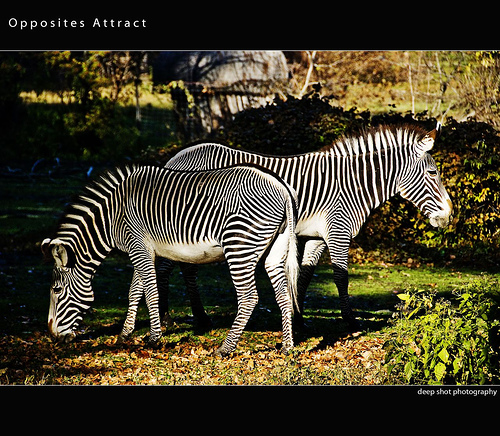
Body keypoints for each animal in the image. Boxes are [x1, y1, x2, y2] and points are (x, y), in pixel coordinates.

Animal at [42, 164, 299, 356]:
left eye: (56, 289)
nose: (53, 335)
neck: (112, 217)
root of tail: (282, 187)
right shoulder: (143, 249)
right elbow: (135, 291)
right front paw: (125, 334)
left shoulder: (138, 246)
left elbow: (150, 292)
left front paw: (154, 338)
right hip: (276, 249)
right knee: (283, 294)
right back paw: (287, 346)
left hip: (238, 245)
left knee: (249, 297)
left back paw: (224, 348)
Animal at [161, 122, 453, 328]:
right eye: (432, 173)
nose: (448, 216)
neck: (352, 185)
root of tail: (176, 157)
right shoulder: (338, 231)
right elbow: (341, 277)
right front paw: (350, 322)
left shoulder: (318, 236)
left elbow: (305, 274)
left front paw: (298, 318)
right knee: (172, 266)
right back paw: (173, 318)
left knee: (182, 265)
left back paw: (191, 317)